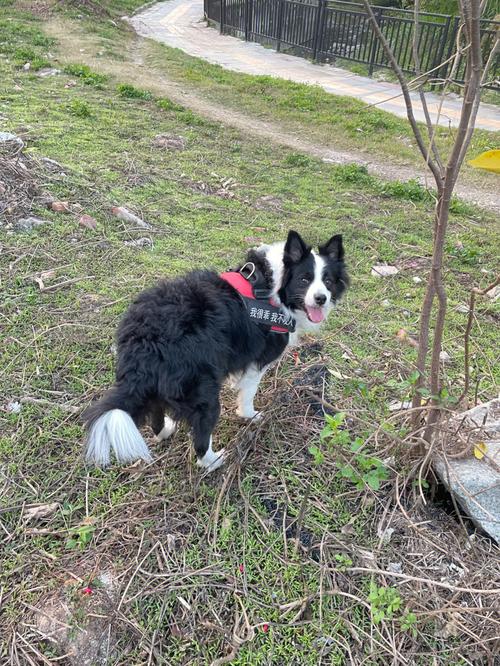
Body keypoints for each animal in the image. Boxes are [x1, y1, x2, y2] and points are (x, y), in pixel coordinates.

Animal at [83, 231, 348, 470]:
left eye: (328, 281)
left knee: (155, 414)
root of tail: (144, 343)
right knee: (201, 438)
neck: (274, 286)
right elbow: (248, 394)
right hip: (204, 393)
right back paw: (214, 461)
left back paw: (166, 430)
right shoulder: (258, 361)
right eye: (304, 280)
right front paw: (250, 415)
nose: (321, 299)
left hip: (159, 387)